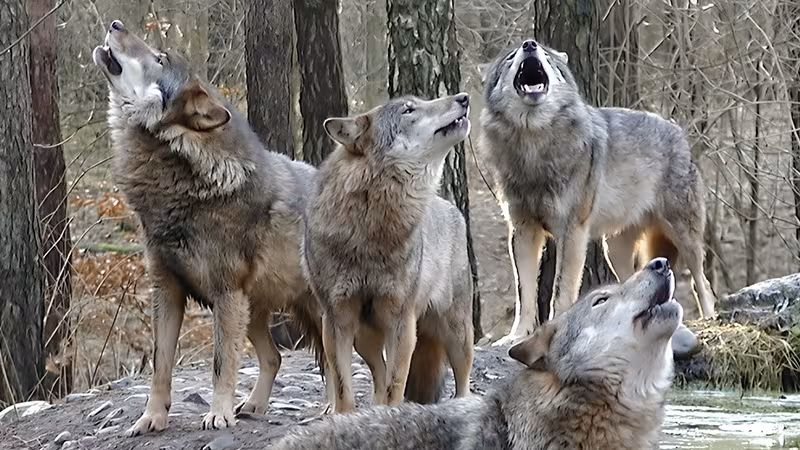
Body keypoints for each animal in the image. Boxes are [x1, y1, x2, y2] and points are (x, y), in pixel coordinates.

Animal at [92, 20, 323, 435]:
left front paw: (218, 414)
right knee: (275, 357)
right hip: (252, 312)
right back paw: (253, 406)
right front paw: (152, 418)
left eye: (160, 58)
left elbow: (220, 364)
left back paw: (333, 407)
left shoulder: (226, 294)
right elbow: (160, 365)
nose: (115, 24)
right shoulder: (167, 291)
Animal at [301, 94, 475, 413]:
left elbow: (397, 385)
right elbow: (344, 388)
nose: (464, 97)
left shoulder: (401, 322)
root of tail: (450, 206)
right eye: (409, 109)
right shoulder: (336, 321)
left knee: (462, 379)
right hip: (364, 337)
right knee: (378, 373)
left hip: (456, 332)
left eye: (418, 102)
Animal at [479, 38, 716, 346]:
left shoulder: (573, 231)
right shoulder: (522, 230)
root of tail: (678, 131)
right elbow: (524, 293)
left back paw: (710, 317)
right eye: (510, 57)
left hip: (683, 236)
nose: (529, 44)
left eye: (547, 55)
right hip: (613, 250)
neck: (534, 143)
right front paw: (515, 336)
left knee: (703, 282)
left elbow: (560, 289)